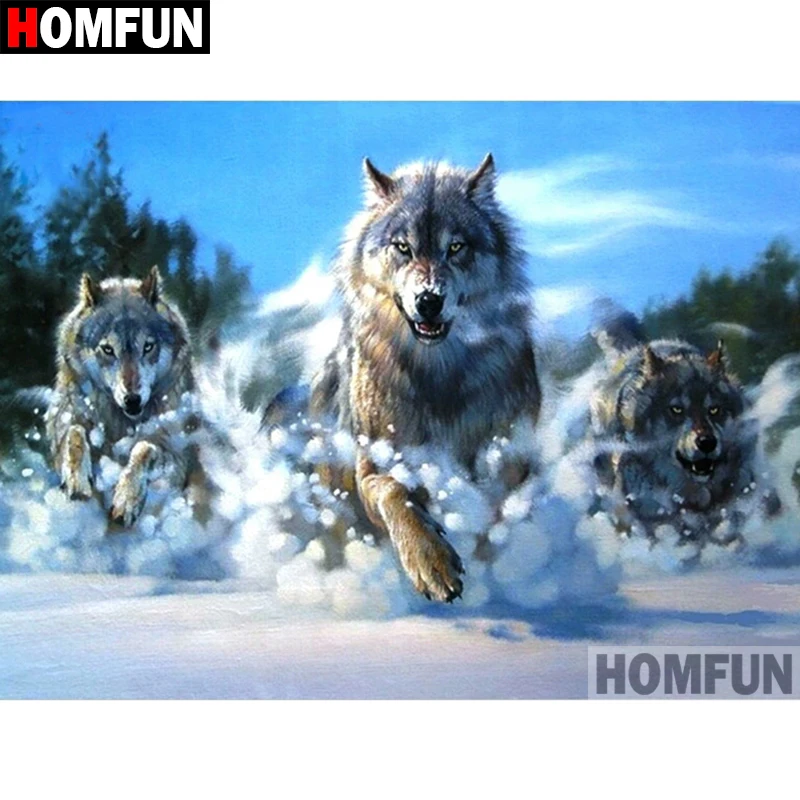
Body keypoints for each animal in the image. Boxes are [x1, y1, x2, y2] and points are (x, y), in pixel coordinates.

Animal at [46, 266, 200, 527]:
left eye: (148, 347)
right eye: (108, 349)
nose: (133, 399)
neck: (120, 422)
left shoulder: (175, 453)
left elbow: (143, 448)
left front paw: (126, 500)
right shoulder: (64, 422)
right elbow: (74, 433)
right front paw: (77, 480)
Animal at [293, 154, 541, 602]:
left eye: (456, 247)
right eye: (402, 247)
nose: (428, 300)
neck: (438, 373)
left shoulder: (512, 458)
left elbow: (495, 514)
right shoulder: (375, 465)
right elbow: (395, 491)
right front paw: (432, 562)